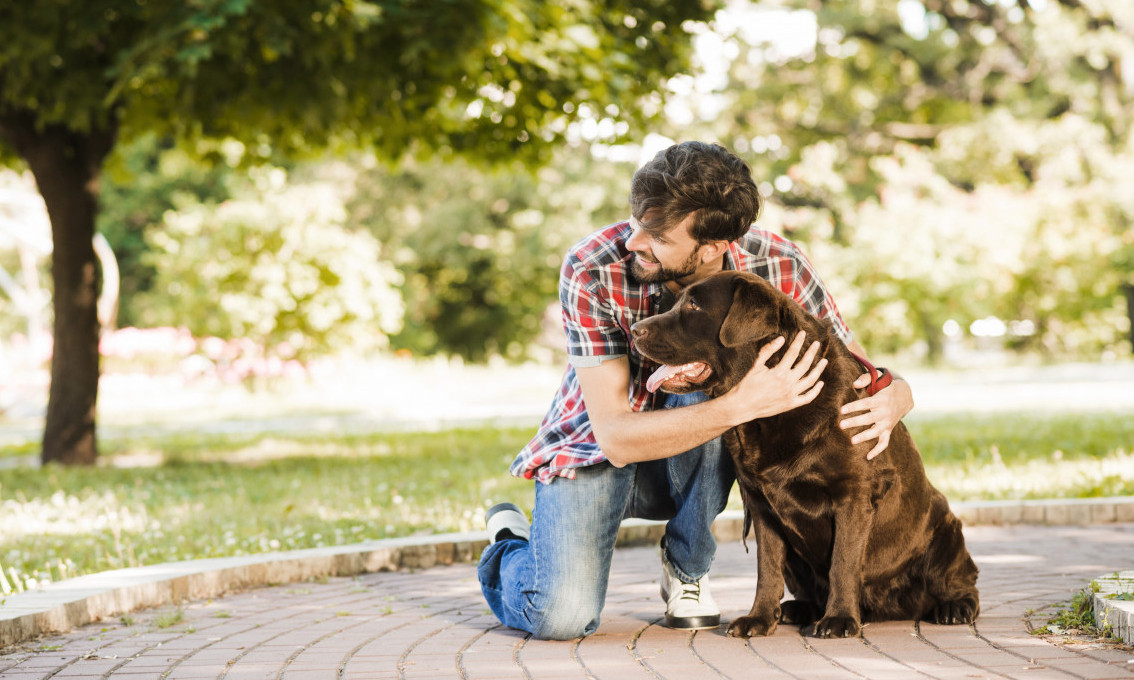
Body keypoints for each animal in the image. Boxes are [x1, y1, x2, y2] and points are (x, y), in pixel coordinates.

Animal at [635, 269, 979, 639]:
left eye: (695, 306)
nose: (636, 330)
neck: (772, 414)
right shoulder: (761, 505)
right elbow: (767, 568)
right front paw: (758, 618)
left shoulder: (853, 495)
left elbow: (843, 561)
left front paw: (840, 619)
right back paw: (794, 609)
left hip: (946, 528)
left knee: (965, 583)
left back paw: (954, 607)